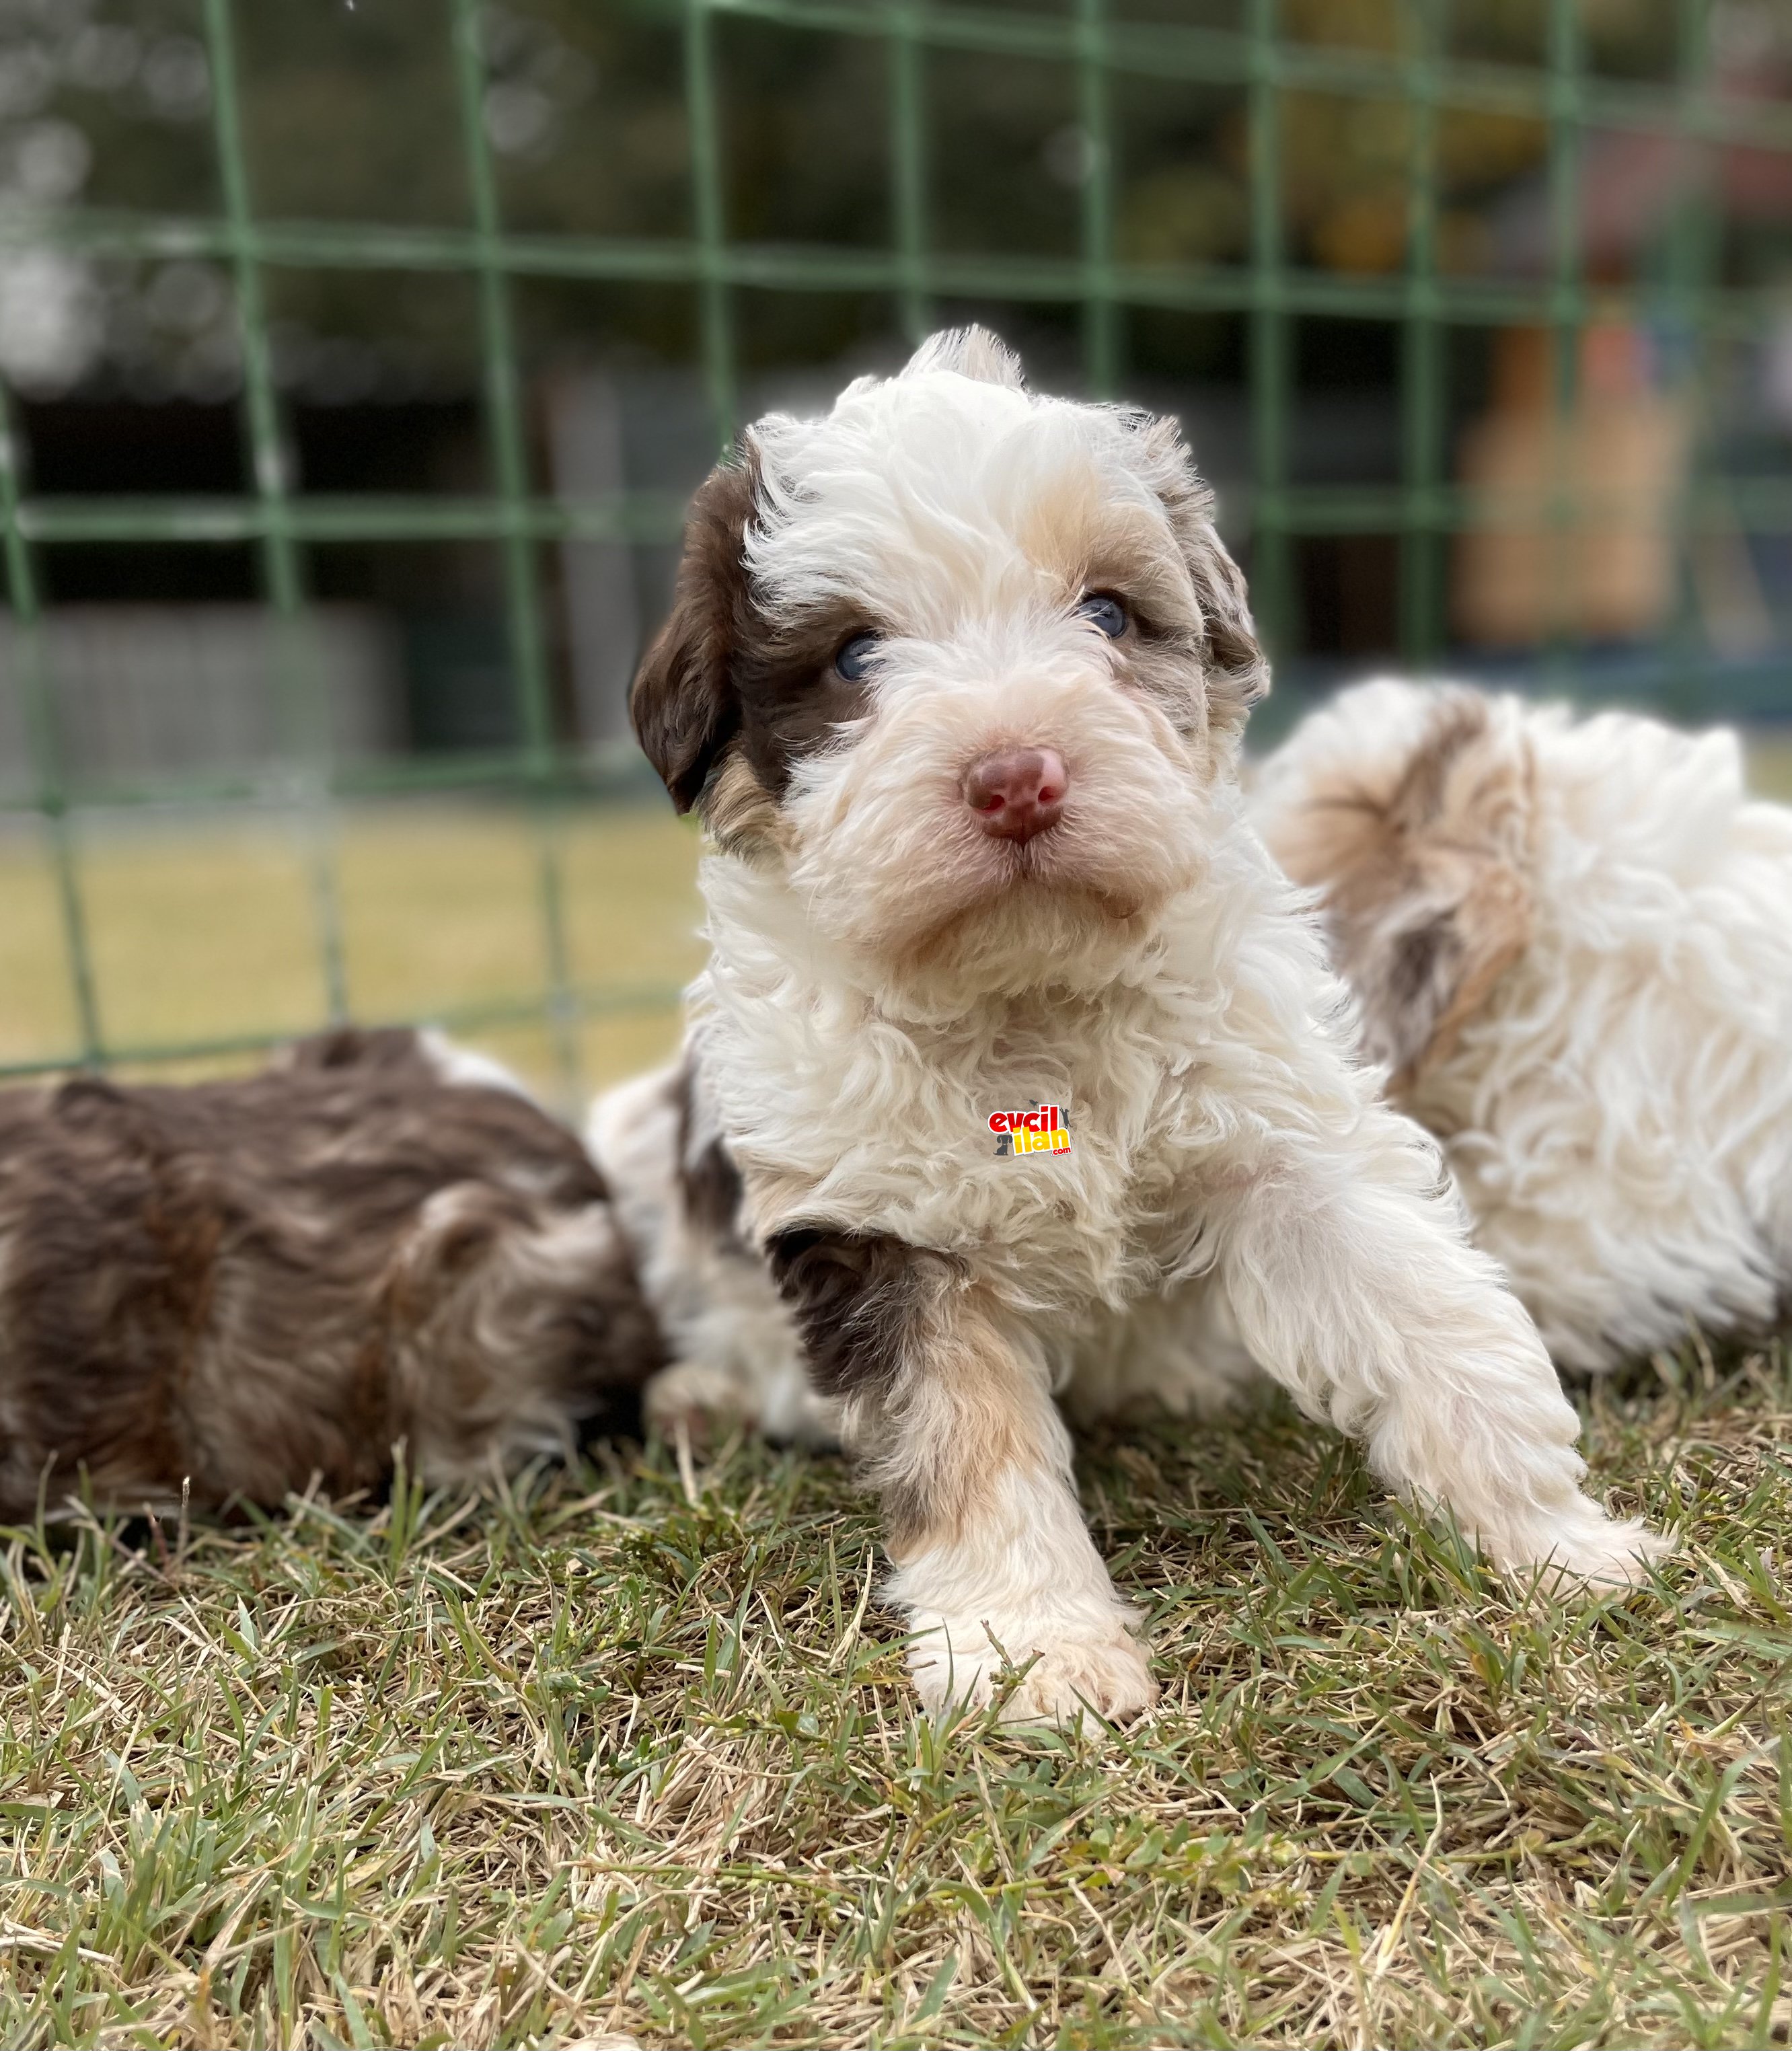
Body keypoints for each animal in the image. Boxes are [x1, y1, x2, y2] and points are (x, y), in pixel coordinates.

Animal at [607, 328, 1656, 1723]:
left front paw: (1552, 1540)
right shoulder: (876, 1221)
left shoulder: (1287, 1133)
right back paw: (702, 1393)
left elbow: (1433, 1316)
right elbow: (965, 1439)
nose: (1015, 777)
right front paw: (1029, 1650)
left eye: (1104, 612)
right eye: (851, 657)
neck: (1026, 988)